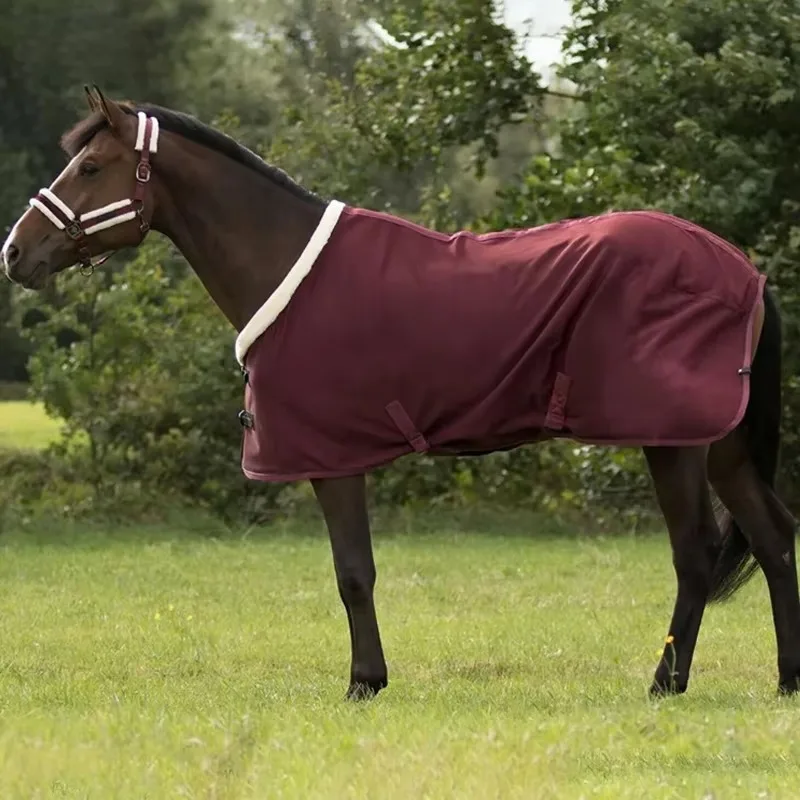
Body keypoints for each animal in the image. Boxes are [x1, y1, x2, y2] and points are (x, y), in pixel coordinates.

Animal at [2, 86, 798, 702]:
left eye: (90, 166)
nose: (14, 252)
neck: (284, 264)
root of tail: (743, 269)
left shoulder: (331, 457)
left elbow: (353, 573)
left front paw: (364, 682)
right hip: (722, 447)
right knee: (772, 537)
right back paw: (787, 681)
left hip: (674, 442)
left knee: (696, 552)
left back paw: (665, 683)